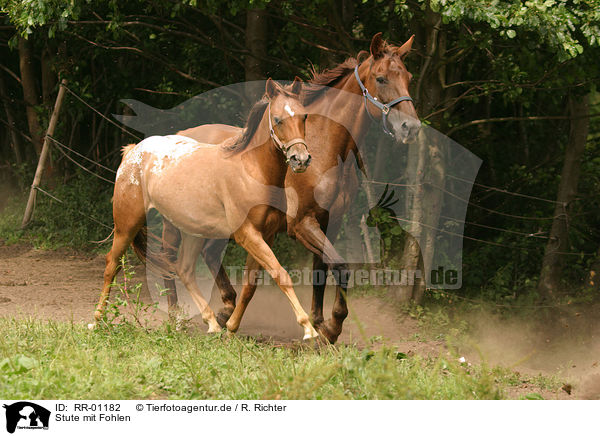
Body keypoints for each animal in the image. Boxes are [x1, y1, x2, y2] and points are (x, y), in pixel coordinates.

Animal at [92, 78, 318, 340]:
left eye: (304, 117)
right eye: (278, 119)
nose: (300, 159)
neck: (251, 171)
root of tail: (133, 151)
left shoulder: (265, 235)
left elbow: (251, 284)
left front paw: (231, 327)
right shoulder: (247, 234)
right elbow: (281, 274)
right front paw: (308, 328)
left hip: (192, 232)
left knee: (184, 269)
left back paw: (211, 322)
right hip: (127, 224)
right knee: (112, 264)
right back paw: (97, 320)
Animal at [163, 32, 418, 342]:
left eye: (408, 76)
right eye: (381, 78)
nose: (410, 127)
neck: (323, 149)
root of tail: (180, 134)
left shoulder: (329, 221)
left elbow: (321, 269)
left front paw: (318, 324)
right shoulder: (301, 224)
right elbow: (340, 267)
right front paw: (332, 326)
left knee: (208, 254)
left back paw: (225, 310)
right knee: (169, 259)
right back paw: (176, 317)